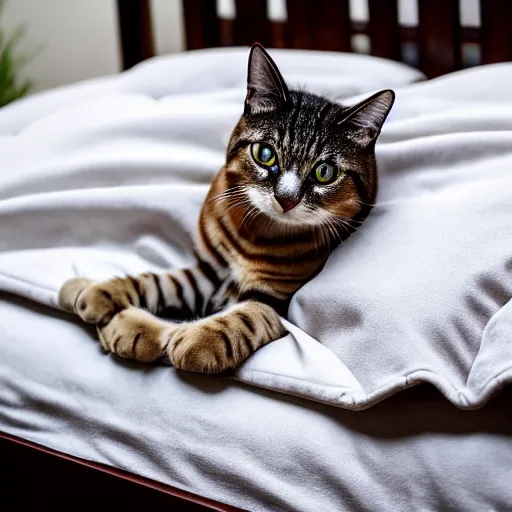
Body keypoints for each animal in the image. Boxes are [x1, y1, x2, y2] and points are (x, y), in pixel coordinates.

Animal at [59, 43, 396, 372]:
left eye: (324, 172)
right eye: (265, 154)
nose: (286, 199)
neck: (255, 234)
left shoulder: (276, 301)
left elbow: (245, 315)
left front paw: (196, 341)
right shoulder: (210, 272)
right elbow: (160, 281)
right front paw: (98, 292)